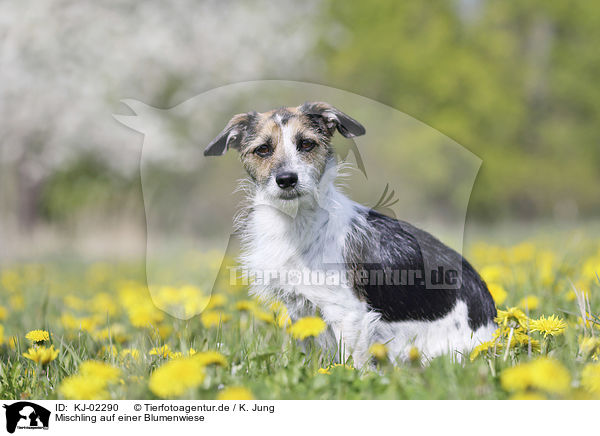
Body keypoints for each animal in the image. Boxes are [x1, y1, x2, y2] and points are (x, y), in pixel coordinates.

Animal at [204, 101, 494, 364]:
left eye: (306, 144)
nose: (286, 179)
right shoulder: (301, 311)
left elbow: (351, 366)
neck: (297, 222)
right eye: (263, 149)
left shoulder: (349, 314)